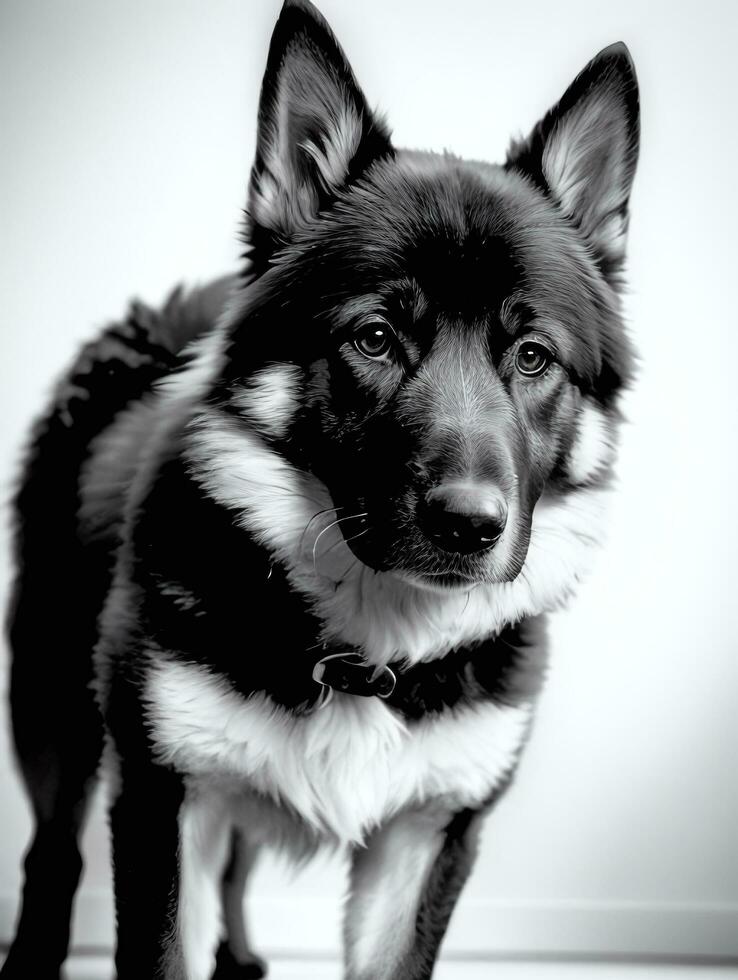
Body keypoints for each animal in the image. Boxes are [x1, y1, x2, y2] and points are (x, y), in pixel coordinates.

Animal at [1, 1, 640, 980]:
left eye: (532, 357)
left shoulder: (429, 836)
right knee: (51, 858)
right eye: (374, 338)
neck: (371, 650)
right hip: (53, 707)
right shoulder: (160, 800)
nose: (470, 526)